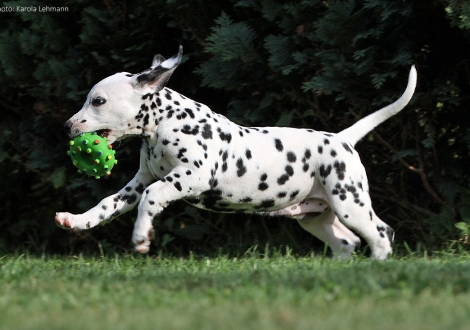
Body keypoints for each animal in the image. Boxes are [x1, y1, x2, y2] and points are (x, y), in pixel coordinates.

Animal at [56, 45, 418, 258]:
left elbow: (153, 196)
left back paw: (377, 268)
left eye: (98, 101)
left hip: (349, 202)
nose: (67, 126)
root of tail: (342, 138)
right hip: (316, 217)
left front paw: (142, 237)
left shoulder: (191, 176)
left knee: (381, 233)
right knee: (347, 242)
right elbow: (108, 203)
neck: (165, 124)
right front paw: (77, 220)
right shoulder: (139, 181)